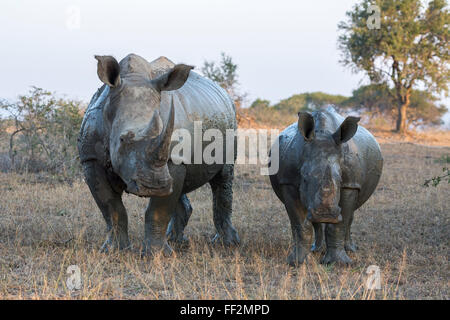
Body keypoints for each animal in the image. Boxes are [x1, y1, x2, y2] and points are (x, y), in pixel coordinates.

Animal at [78, 54, 239, 255]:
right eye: (122, 139)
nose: (156, 186)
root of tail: (224, 94)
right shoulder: (91, 158)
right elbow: (111, 208)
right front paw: (113, 251)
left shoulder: (173, 159)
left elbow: (158, 211)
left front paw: (157, 254)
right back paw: (176, 240)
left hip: (230, 120)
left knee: (223, 177)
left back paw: (226, 243)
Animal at [270, 107, 384, 264]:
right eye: (304, 179)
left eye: (340, 179)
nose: (326, 214)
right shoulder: (288, 182)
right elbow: (300, 224)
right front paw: (298, 262)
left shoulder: (350, 184)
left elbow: (340, 224)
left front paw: (340, 263)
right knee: (312, 218)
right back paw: (316, 250)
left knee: (350, 216)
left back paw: (350, 249)